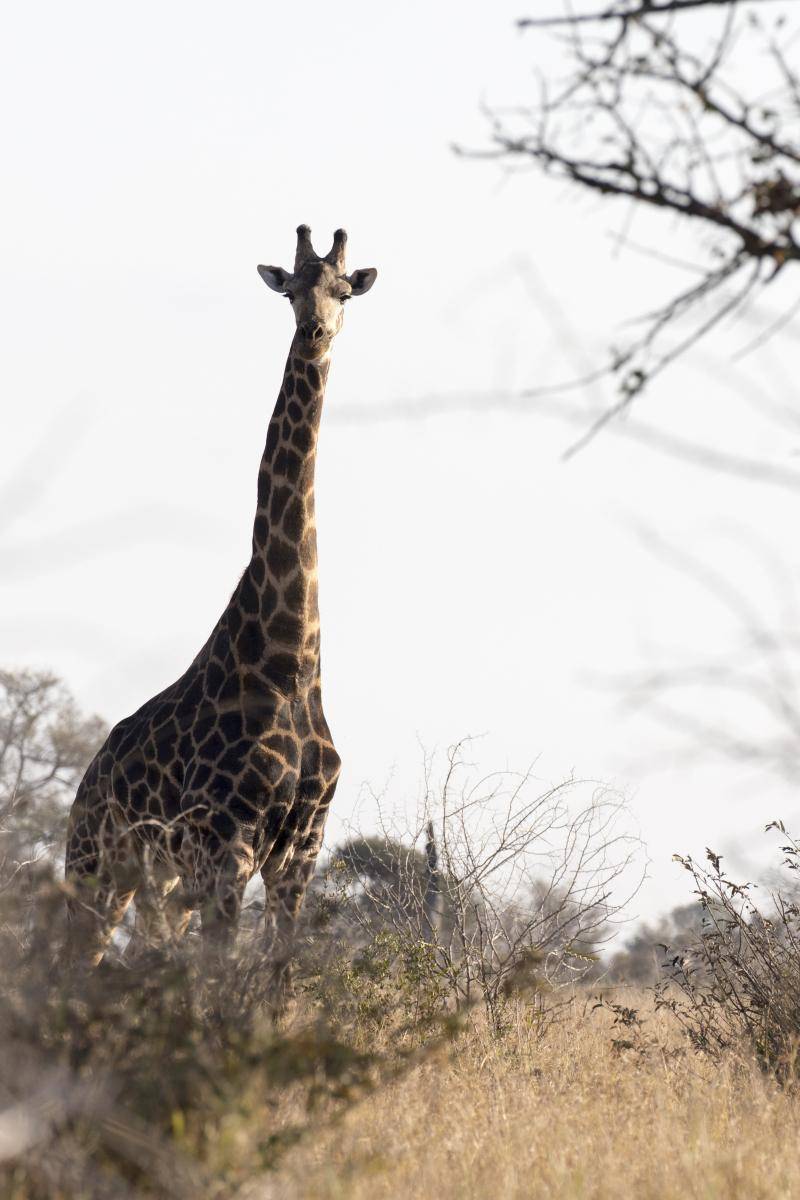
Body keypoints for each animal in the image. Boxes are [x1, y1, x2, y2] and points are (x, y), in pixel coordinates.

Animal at [64, 226, 376, 993]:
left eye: (344, 289)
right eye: (292, 289)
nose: (315, 332)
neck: (289, 657)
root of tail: (88, 774)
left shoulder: (298, 854)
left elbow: (274, 988)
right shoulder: (225, 847)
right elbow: (213, 988)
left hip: (159, 883)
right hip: (97, 863)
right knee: (69, 964)